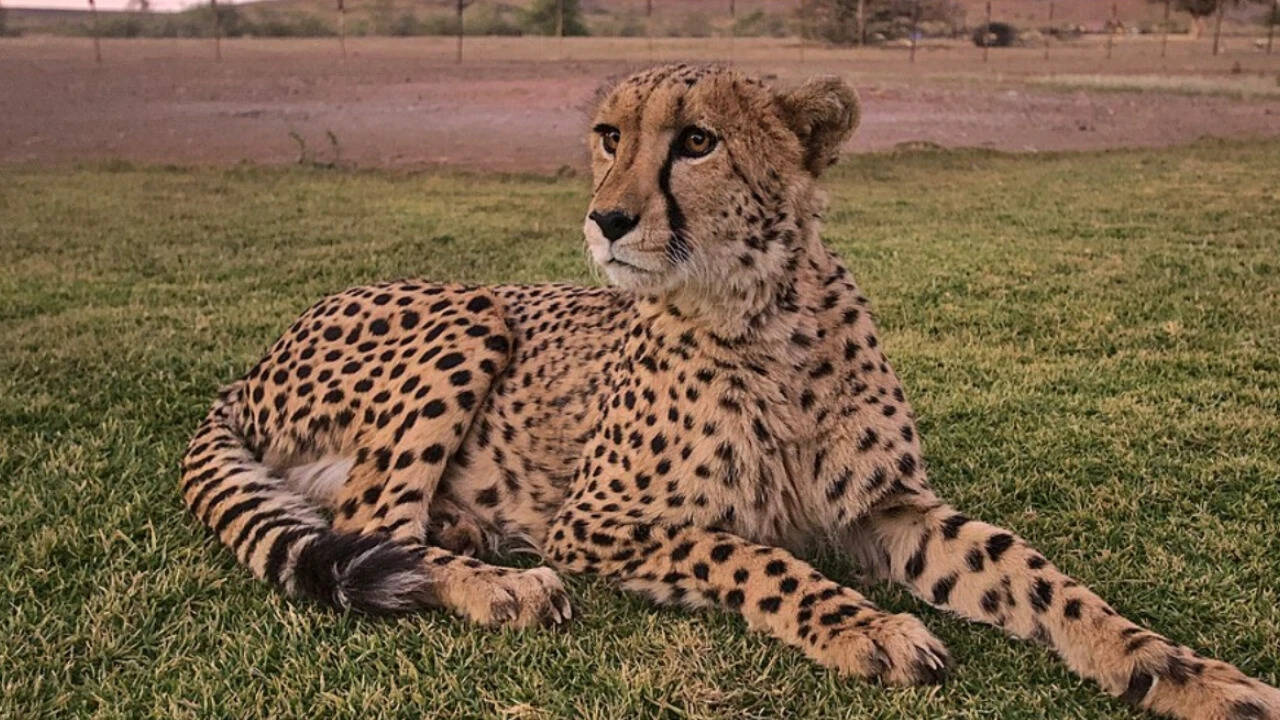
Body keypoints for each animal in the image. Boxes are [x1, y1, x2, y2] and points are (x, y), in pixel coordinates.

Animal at [180, 63, 1279, 719]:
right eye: (607, 134)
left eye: (697, 142)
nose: (606, 219)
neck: (763, 317)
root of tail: (251, 364)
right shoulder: (600, 522)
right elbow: (753, 556)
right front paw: (868, 628)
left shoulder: (886, 506)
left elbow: (1030, 575)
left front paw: (1178, 671)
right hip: (472, 312)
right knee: (371, 527)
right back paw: (502, 585)